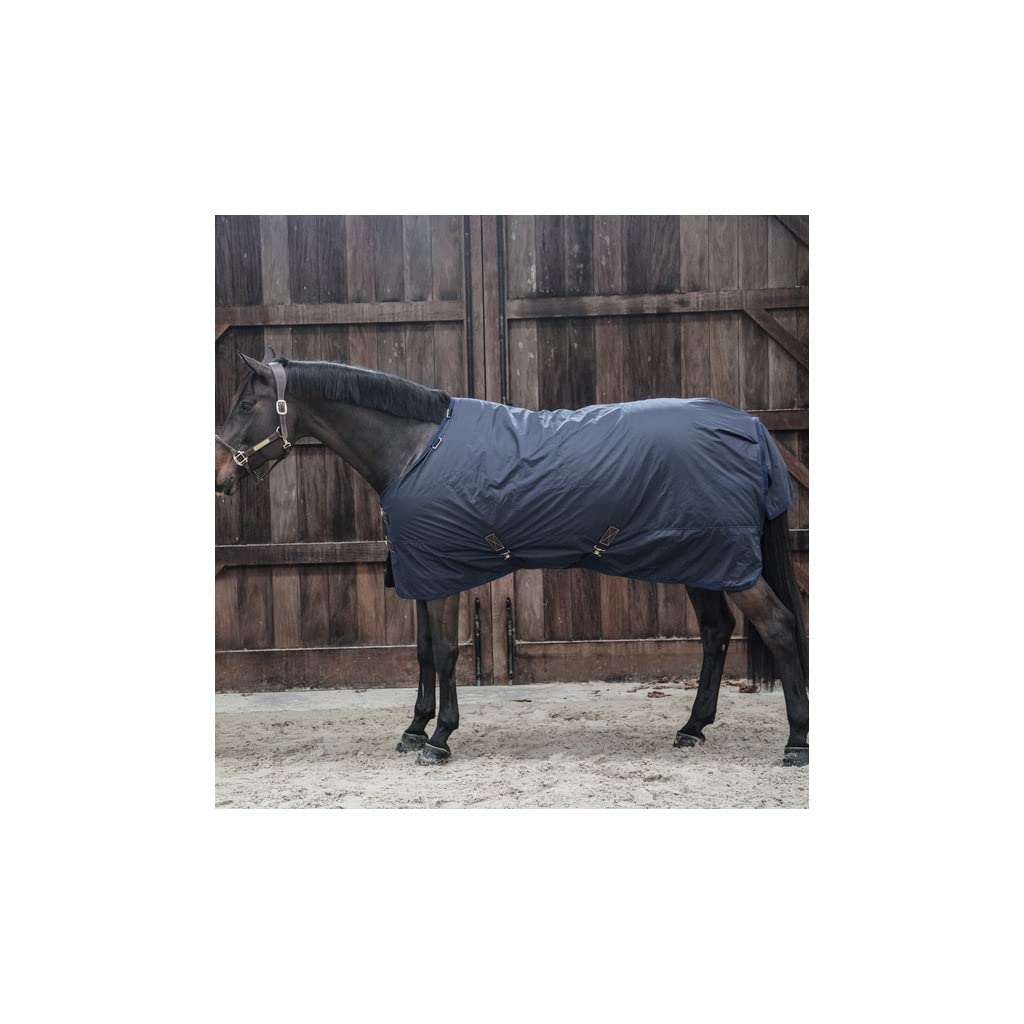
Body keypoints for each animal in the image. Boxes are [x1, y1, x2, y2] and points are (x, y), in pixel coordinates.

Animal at [215, 348, 809, 768]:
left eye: (245, 405)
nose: (219, 477)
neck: (416, 449)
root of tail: (750, 426)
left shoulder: (443, 573)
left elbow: (445, 653)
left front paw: (439, 739)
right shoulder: (418, 572)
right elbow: (423, 653)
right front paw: (414, 730)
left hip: (726, 561)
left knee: (779, 627)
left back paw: (796, 743)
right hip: (700, 558)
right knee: (716, 632)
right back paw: (691, 729)